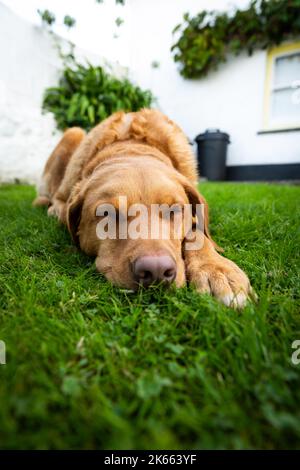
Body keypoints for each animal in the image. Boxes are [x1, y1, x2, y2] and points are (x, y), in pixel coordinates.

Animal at [32, 109, 253, 308]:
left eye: (174, 210)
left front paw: (217, 269)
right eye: (106, 213)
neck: (131, 145)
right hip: (73, 135)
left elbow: (198, 233)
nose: (156, 271)